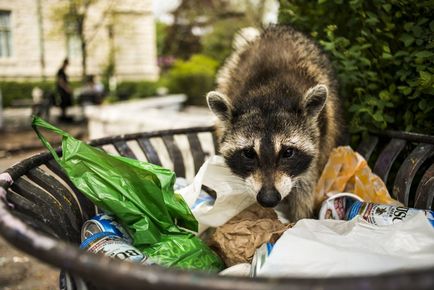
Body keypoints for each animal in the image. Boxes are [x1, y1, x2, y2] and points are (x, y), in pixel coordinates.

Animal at [206, 26, 342, 222]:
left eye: (288, 152)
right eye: (248, 153)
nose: (268, 199)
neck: (269, 96)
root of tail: (277, 28)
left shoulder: (319, 135)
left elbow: (306, 183)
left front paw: (299, 219)